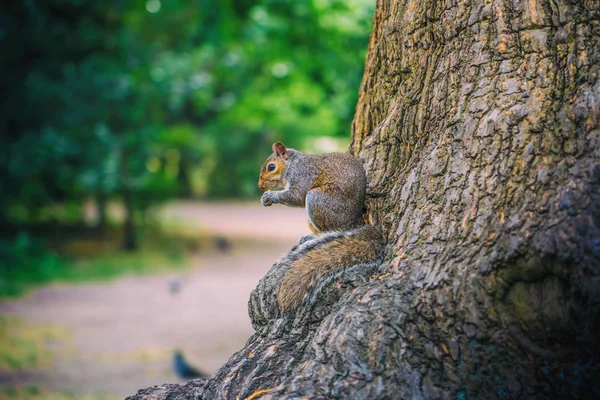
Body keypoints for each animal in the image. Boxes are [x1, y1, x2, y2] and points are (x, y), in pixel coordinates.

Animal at [255, 142, 382, 310]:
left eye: (271, 167)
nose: (260, 186)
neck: (292, 164)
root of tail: (355, 224)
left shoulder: (303, 174)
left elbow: (296, 197)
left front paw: (270, 196)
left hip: (316, 200)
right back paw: (308, 237)